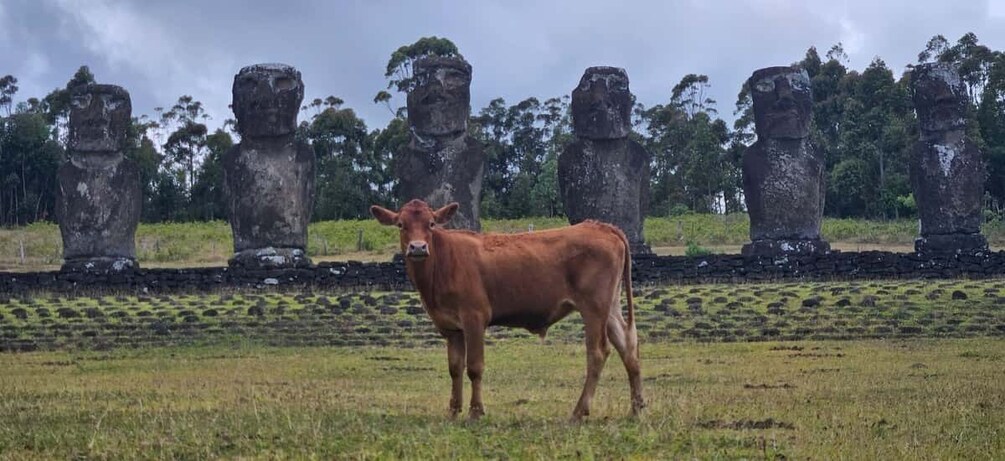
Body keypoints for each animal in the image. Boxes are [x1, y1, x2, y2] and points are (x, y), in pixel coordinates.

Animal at [370, 199, 644, 421]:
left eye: (431, 223)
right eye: (401, 225)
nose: (417, 248)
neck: (442, 265)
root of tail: (602, 226)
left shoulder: (474, 318)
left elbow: (474, 367)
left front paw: (475, 411)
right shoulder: (450, 328)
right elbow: (455, 369)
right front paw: (454, 411)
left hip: (593, 308)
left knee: (597, 353)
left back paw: (579, 411)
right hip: (610, 308)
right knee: (627, 347)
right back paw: (636, 408)